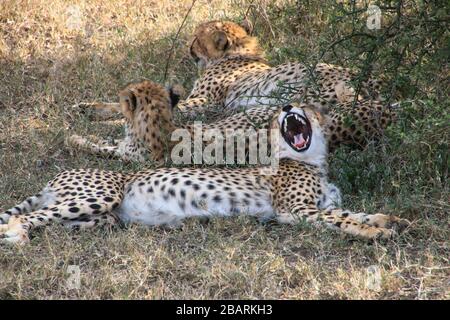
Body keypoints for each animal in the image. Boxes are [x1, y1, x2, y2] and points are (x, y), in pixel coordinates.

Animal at [0, 103, 410, 245]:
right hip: (100, 195)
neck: (312, 160)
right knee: (29, 217)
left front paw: (390, 220)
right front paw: (375, 233)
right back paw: (16, 235)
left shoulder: (312, 208)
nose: (286, 108)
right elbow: (344, 220)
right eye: (283, 110)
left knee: (54, 222)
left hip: (104, 218)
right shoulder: (296, 211)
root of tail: (58, 176)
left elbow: (351, 212)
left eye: (302, 106)